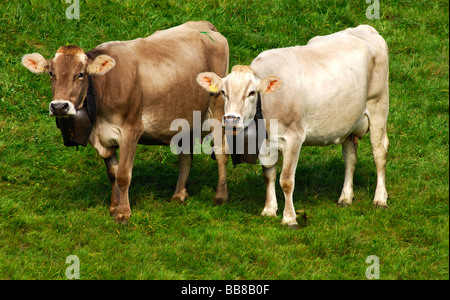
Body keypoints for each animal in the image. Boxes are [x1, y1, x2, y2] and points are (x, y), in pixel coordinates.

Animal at [21, 21, 230, 221]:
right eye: (51, 74)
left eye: (80, 74)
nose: (59, 107)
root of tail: (204, 25)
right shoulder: (102, 135)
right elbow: (112, 174)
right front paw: (114, 206)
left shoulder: (132, 130)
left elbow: (123, 175)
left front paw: (123, 212)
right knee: (185, 155)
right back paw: (179, 195)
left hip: (217, 109)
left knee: (221, 153)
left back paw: (220, 196)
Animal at [198, 25, 390, 227]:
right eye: (223, 92)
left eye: (251, 93)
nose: (230, 119)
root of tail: (364, 28)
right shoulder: (266, 143)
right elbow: (269, 175)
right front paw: (269, 210)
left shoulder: (293, 138)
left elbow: (286, 180)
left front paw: (289, 218)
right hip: (348, 121)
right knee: (350, 156)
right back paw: (345, 197)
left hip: (378, 107)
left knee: (379, 153)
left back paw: (380, 198)